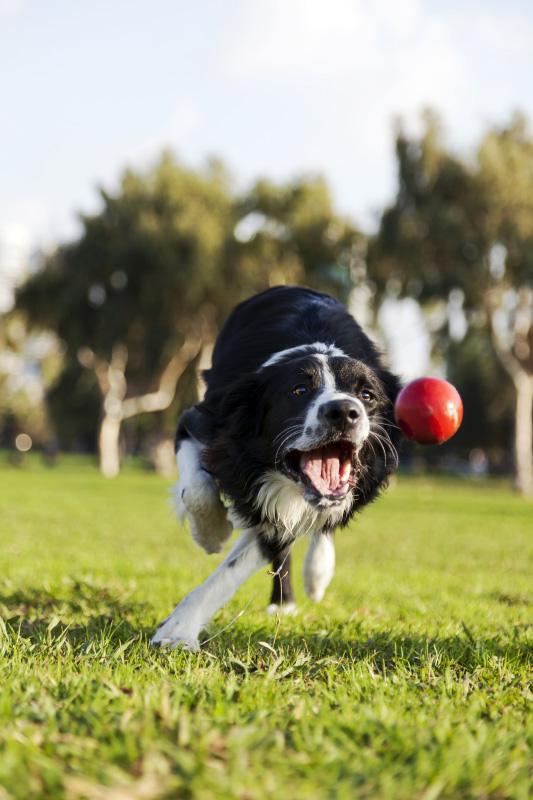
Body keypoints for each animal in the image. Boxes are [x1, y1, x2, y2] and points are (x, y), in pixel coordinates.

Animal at [150, 288, 400, 648]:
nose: (344, 411)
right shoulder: (204, 421)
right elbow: (197, 489)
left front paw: (177, 631)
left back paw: (315, 576)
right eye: (299, 390)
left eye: (367, 395)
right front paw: (212, 535)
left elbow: (236, 567)